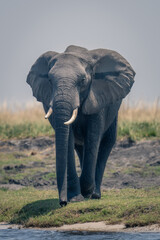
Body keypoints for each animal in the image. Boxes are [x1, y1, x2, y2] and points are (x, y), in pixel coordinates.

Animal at [26, 45, 135, 206]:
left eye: (83, 80)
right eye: (50, 80)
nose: (62, 203)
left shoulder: (97, 98)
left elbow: (93, 136)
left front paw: (86, 193)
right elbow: (68, 139)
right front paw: (76, 197)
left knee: (106, 142)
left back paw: (95, 194)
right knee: (79, 147)